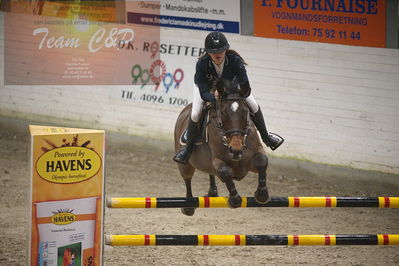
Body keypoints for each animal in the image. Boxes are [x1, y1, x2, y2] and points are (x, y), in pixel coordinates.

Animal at [174, 83, 270, 216]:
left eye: (245, 112)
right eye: (223, 113)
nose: (235, 150)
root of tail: (184, 111)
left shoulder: (252, 158)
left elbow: (262, 161)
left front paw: (261, 194)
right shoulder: (217, 160)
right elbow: (225, 171)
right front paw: (234, 199)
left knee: (210, 173)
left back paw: (212, 193)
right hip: (186, 164)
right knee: (187, 178)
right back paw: (188, 206)